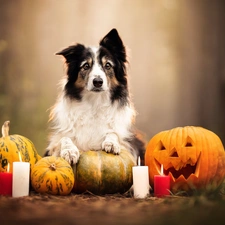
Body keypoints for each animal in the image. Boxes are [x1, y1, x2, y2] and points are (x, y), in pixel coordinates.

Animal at [45, 29, 146, 164]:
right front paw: (69, 150)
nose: (98, 82)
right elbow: (63, 138)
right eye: (86, 66)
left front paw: (111, 143)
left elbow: (113, 133)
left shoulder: (129, 141)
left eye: (107, 65)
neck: (95, 103)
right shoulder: (59, 138)